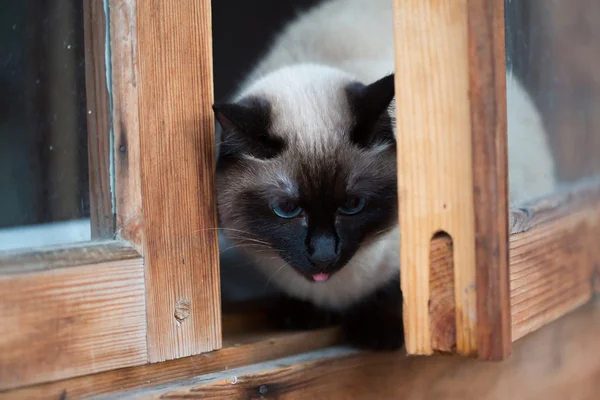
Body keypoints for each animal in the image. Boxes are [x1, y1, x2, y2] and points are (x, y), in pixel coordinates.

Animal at [213, 0, 556, 350]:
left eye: (352, 205)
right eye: (286, 209)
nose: (323, 255)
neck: (336, 292)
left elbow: (399, 289)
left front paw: (378, 334)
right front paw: (302, 315)